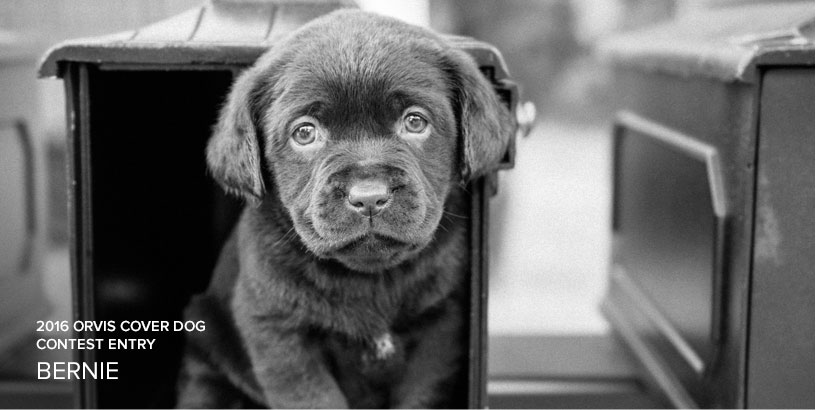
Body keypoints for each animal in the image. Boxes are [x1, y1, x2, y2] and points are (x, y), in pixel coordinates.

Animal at [176, 9, 512, 410]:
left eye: (415, 122)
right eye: (304, 133)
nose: (369, 197)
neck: (370, 279)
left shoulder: (439, 331)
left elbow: (421, 395)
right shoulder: (280, 334)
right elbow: (315, 398)